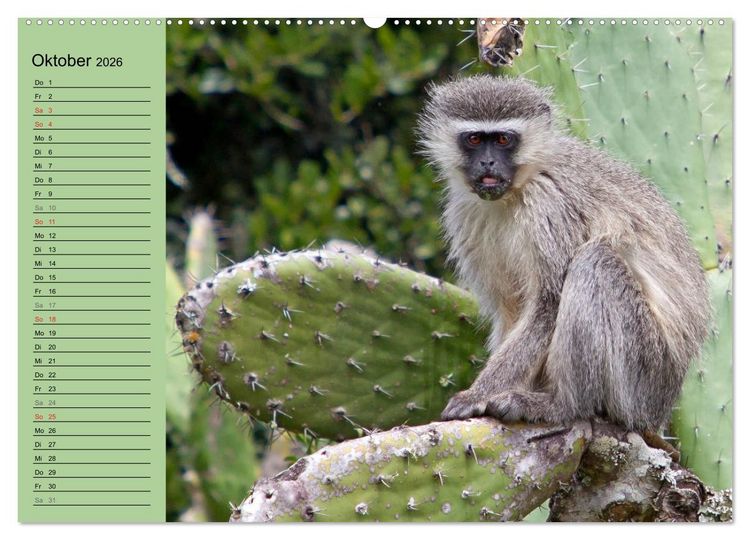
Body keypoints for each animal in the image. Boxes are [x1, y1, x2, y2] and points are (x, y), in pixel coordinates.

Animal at [416, 75, 710, 432]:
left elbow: (548, 305)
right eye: (474, 139)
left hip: (644, 375)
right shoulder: (465, 213)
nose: (487, 162)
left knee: (595, 262)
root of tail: (661, 411)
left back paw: (563, 405)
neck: (515, 193)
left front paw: (477, 395)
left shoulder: (549, 205)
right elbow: (511, 310)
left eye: (502, 139)